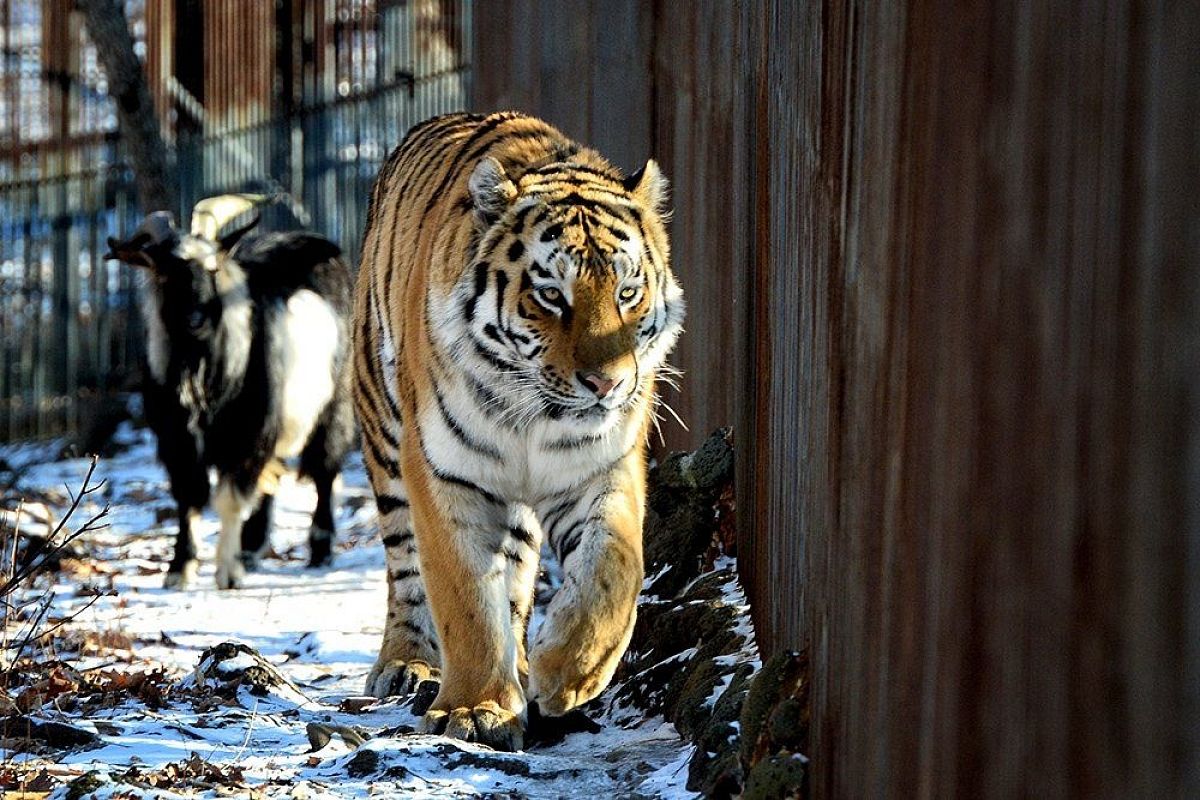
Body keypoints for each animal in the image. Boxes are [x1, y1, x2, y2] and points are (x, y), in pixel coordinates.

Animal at [104, 196, 350, 592]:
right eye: (166, 271)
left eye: (213, 268)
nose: (196, 319)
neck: (202, 371)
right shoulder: (177, 440)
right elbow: (188, 498)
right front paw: (179, 568)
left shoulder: (247, 434)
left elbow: (230, 500)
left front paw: (227, 572)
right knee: (272, 477)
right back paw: (251, 548)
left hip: (334, 403)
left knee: (325, 469)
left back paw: (319, 549)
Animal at [350, 110, 686, 753]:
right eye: (551, 295)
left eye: (628, 292)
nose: (607, 384)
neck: (532, 414)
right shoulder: (444, 472)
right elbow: (463, 597)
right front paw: (475, 709)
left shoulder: (603, 468)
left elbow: (612, 572)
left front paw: (567, 674)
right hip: (383, 433)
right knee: (406, 571)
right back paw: (408, 664)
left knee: (517, 578)